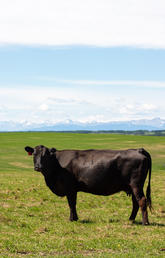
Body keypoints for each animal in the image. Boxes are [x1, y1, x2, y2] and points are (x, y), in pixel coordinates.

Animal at [24, 145, 152, 224]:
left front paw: (72, 219)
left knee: (142, 200)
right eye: (34, 154)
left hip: (136, 185)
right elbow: (72, 204)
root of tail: (138, 149)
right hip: (132, 187)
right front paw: (75, 218)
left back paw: (145, 222)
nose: (38, 167)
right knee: (136, 202)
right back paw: (130, 219)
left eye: (45, 155)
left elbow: (71, 204)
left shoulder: (70, 188)